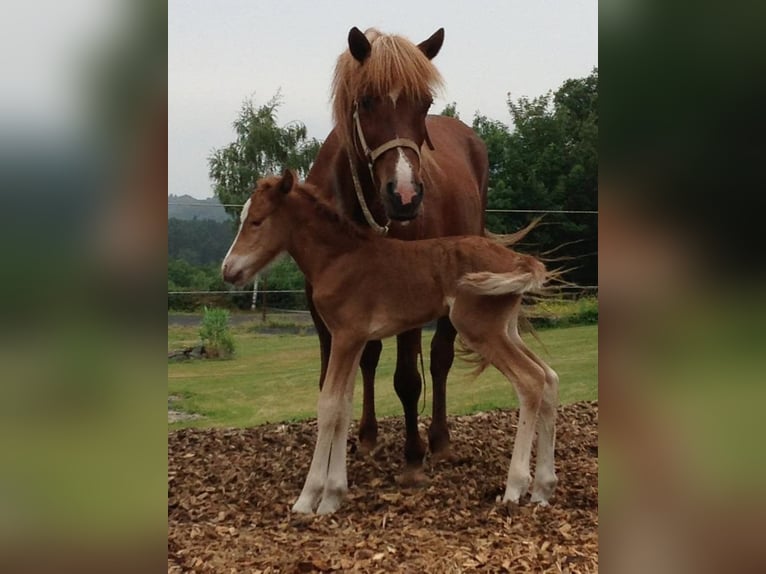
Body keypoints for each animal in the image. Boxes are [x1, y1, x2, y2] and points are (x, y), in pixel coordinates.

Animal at [222, 171, 560, 516]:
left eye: (257, 221)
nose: (228, 271)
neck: (337, 259)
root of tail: (518, 259)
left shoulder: (345, 336)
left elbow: (328, 406)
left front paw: (308, 499)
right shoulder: (355, 340)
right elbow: (344, 406)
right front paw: (333, 496)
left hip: (479, 328)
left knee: (530, 381)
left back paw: (515, 487)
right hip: (506, 329)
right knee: (549, 377)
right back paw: (542, 488)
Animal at [304, 27, 488, 476]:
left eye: (425, 103)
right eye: (367, 100)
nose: (405, 196)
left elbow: (407, 378)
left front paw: (413, 456)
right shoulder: (321, 304)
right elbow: (337, 376)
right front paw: (349, 445)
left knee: (439, 360)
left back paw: (438, 440)